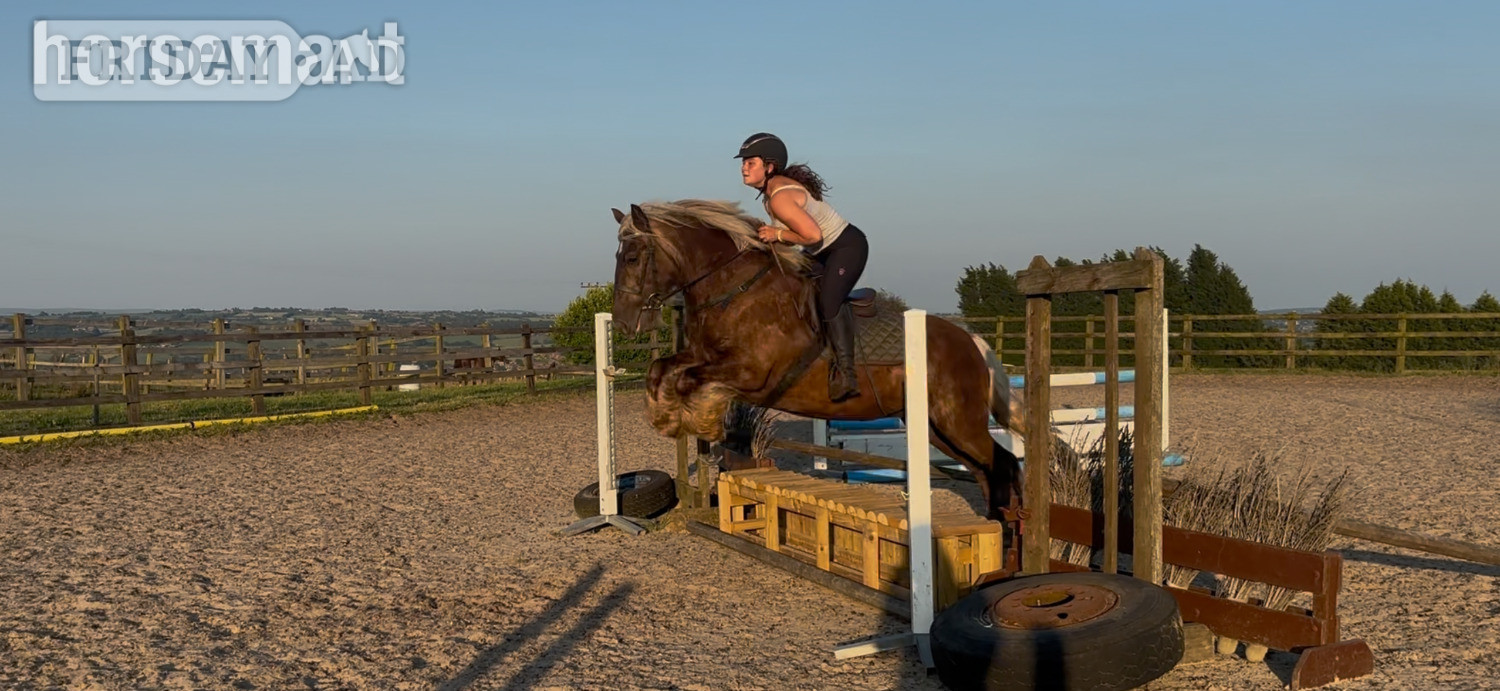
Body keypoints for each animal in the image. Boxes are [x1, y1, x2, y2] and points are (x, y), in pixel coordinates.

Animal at [608, 200, 1027, 518]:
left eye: (633, 257)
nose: (625, 322)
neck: (735, 290)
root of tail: (972, 341)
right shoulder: (704, 355)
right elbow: (660, 369)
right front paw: (667, 417)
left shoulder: (752, 373)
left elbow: (687, 379)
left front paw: (700, 420)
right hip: (935, 427)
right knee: (987, 471)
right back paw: (996, 528)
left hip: (959, 423)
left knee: (1003, 464)